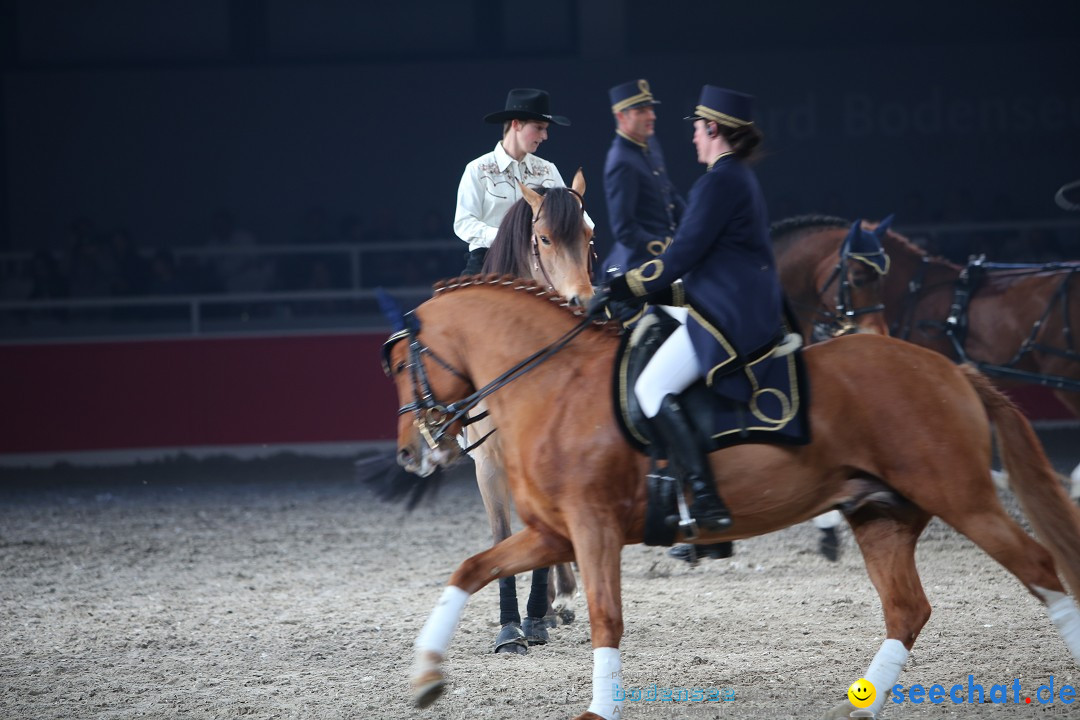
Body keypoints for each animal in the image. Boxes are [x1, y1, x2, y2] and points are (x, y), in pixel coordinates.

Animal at [384, 280, 1080, 720]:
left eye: (396, 367)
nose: (410, 456)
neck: (554, 385)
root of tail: (947, 368)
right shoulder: (554, 534)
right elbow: (470, 568)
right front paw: (426, 677)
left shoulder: (593, 526)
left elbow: (606, 618)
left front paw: (597, 711)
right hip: (881, 513)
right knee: (908, 609)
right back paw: (856, 706)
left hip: (965, 499)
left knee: (1042, 570)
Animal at [460, 170, 591, 651]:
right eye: (545, 238)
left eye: (589, 235)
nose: (583, 302)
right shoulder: (488, 463)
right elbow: (502, 535)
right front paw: (510, 628)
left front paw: (536, 618)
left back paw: (559, 601)